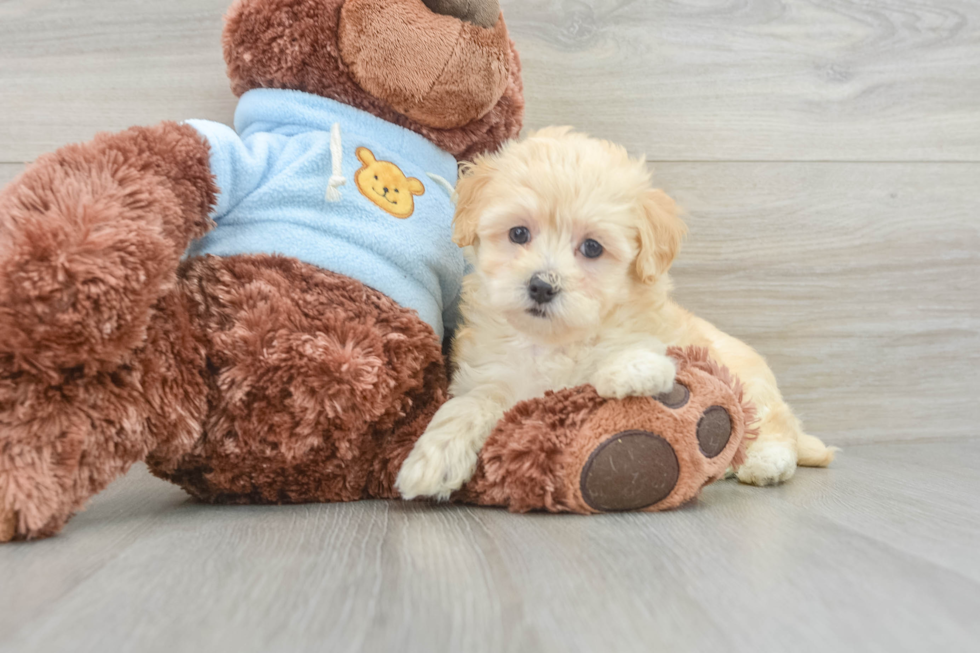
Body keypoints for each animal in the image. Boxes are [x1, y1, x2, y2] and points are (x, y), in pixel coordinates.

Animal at [394, 127, 832, 500]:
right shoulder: (490, 374)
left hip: (750, 382)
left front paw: (629, 370)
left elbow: (630, 354)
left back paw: (764, 462)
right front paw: (434, 459)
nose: (541, 286)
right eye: (519, 233)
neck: (553, 341)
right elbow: (469, 405)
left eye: (592, 248)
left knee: (775, 425)